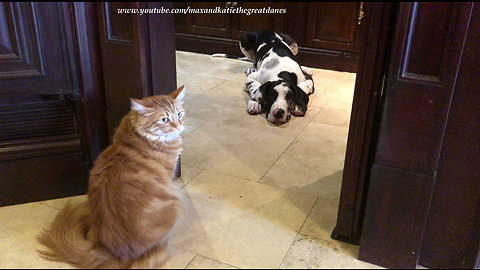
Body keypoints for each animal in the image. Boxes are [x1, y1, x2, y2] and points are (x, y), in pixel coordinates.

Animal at [37, 86, 187, 268]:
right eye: (164, 119)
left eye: (179, 114)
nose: (179, 127)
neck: (136, 136)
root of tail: (112, 253)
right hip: (173, 202)